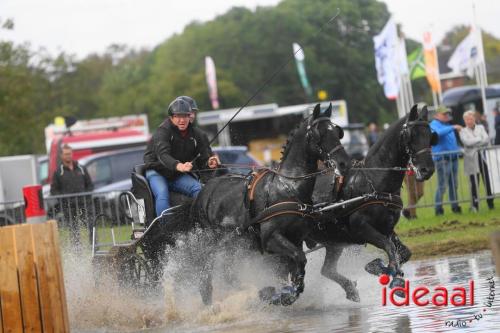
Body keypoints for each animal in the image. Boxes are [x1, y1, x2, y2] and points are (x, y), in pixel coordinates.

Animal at [188, 103, 352, 304]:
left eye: (337, 131)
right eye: (319, 134)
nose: (344, 163)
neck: (288, 187)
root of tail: (203, 190)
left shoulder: (296, 239)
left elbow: (292, 266)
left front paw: (285, 292)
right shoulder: (270, 239)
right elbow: (299, 259)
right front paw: (286, 294)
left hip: (233, 246)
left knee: (228, 272)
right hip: (210, 245)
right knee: (207, 272)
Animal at [310, 103, 436, 300]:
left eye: (430, 135)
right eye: (411, 135)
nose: (427, 170)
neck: (373, 181)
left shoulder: (387, 228)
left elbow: (402, 253)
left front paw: (380, 268)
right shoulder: (362, 229)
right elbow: (389, 247)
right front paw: (393, 276)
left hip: (332, 241)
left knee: (327, 270)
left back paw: (349, 289)